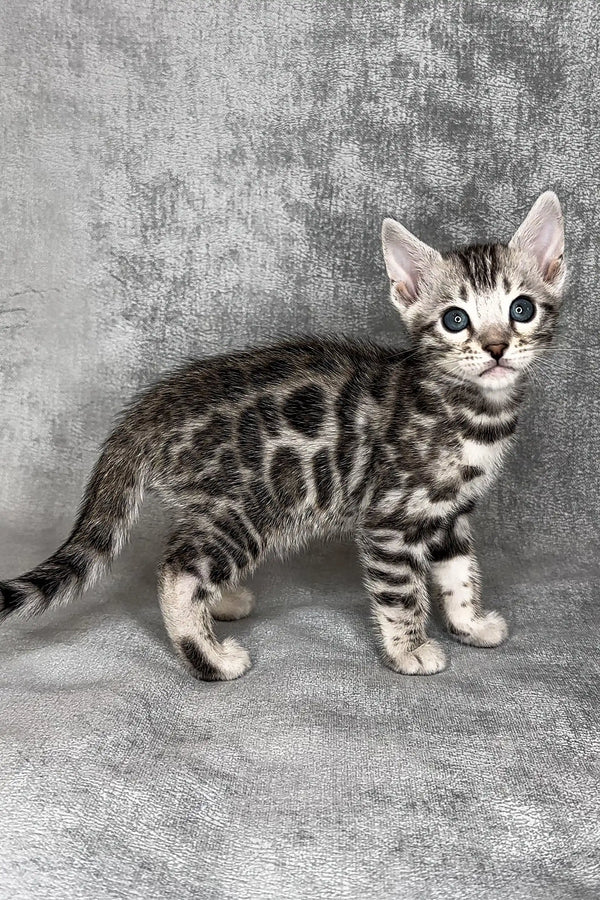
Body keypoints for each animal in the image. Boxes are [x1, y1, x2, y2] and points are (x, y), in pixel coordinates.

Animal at [0, 193, 564, 680]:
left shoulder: (449, 513)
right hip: (248, 507)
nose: (496, 347)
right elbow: (401, 591)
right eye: (455, 319)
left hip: (211, 506)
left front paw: (469, 624)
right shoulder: (390, 517)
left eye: (521, 309)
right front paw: (410, 650)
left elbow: (458, 572)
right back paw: (211, 658)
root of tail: (152, 406)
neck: (472, 410)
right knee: (179, 572)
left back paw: (222, 601)